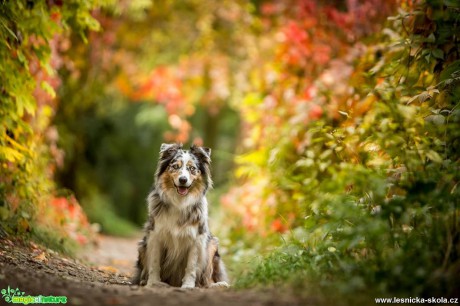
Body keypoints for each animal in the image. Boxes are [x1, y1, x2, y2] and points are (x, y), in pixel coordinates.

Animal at [131, 144, 228, 290]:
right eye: (175, 166)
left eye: (192, 168)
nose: (183, 180)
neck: (179, 202)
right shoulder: (155, 235)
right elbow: (154, 263)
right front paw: (153, 283)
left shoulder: (197, 239)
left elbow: (191, 266)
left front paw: (188, 285)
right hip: (142, 245)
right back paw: (144, 281)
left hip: (212, 244)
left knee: (205, 279)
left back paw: (216, 285)